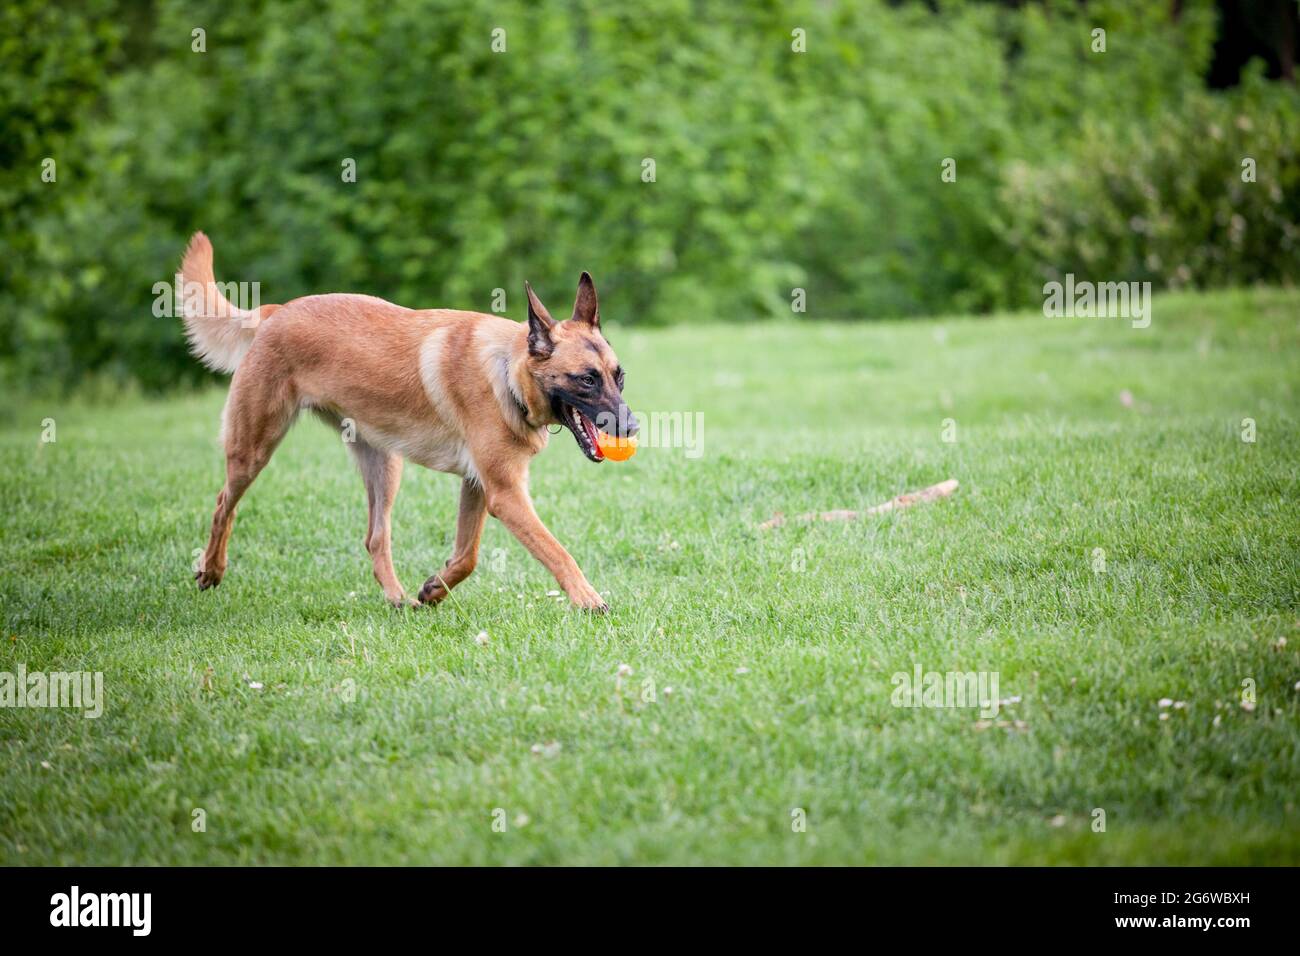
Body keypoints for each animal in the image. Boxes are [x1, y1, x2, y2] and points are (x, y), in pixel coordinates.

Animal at [178, 230, 634, 613]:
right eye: (587, 379)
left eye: (619, 376)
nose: (632, 428)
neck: (507, 372)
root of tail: (276, 311)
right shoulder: (505, 494)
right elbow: (557, 551)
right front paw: (589, 600)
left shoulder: (478, 485)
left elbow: (467, 556)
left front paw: (434, 589)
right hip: (253, 448)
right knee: (223, 504)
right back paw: (211, 568)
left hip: (383, 463)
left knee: (375, 537)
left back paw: (398, 600)